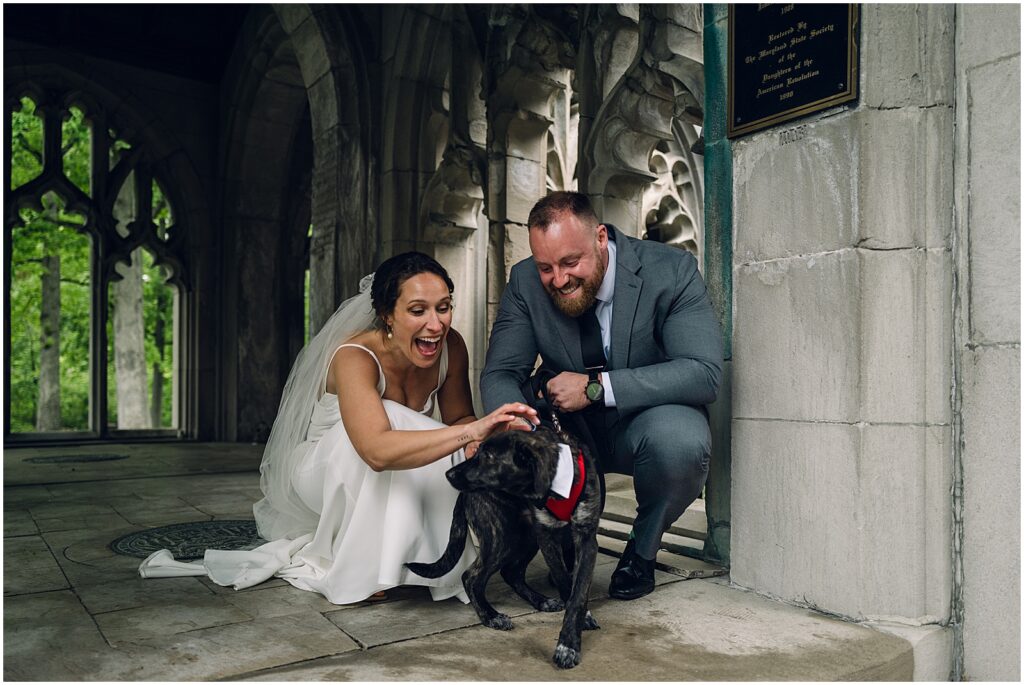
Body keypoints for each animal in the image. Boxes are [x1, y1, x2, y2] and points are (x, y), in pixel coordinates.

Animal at [405, 421, 598, 667]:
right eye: (478, 451)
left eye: (487, 456)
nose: (448, 474)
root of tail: (465, 495)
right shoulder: (547, 537)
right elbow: (564, 581)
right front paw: (568, 645)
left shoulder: (586, 538)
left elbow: (578, 591)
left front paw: (573, 635)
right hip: (502, 537)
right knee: (471, 576)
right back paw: (491, 616)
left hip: (526, 537)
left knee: (511, 572)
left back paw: (541, 601)